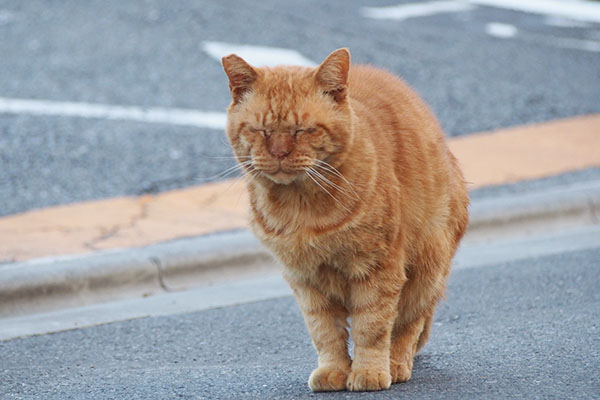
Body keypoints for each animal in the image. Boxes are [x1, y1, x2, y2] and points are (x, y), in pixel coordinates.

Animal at [220, 47, 468, 390]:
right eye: (260, 131)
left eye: (302, 130)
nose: (279, 153)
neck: (302, 209)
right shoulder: (305, 280)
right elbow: (325, 332)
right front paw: (334, 370)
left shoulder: (378, 268)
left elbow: (372, 327)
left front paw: (369, 372)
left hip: (427, 264)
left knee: (409, 322)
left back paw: (396, 363)